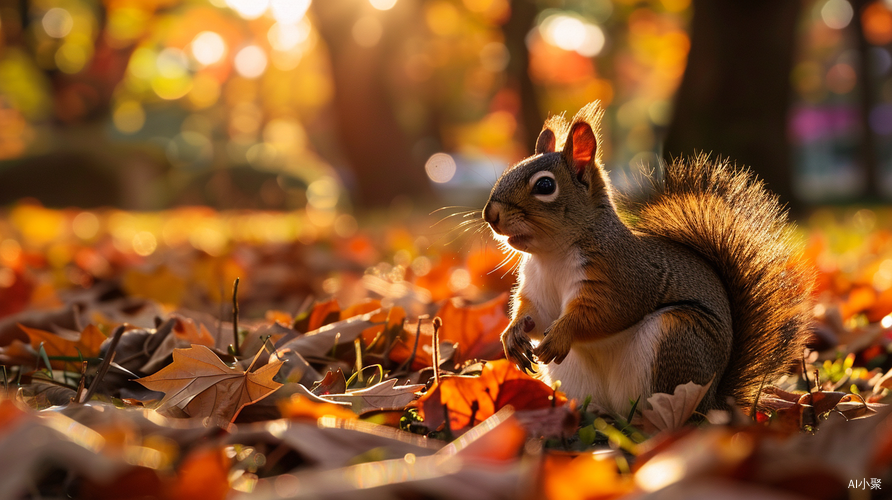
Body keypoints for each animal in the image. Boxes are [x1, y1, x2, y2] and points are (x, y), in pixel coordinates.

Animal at [484, 100, 812, 414]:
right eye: (507, 172)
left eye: (545, 185)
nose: (490, 215)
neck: (551, 255)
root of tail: (715, 401)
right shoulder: (536, 288)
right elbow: (534, 314)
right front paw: (512, 335)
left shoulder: (623, 275)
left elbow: (606, 312)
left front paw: (560, 334)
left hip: (677, 338)